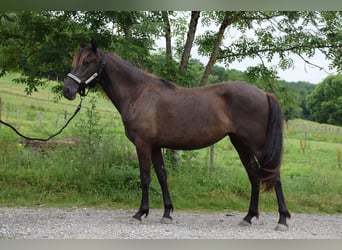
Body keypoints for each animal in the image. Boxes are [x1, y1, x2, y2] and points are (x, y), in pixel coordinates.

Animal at [62, 39, 290, 230]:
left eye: (88, 61)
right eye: (75, 60)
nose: (67, 90)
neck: (138, 93)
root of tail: (264, 94)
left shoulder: (143, 145)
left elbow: (145, 177)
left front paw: (140, 213)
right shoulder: (155, 146)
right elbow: (162, 176)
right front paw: (167, 213)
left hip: (257, 146)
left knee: (274, 175)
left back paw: (282, 220)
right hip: (241, 145)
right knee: (254, 176)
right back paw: (249, 217)